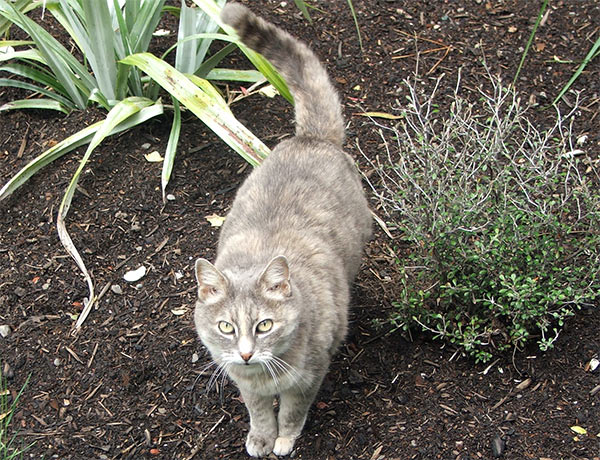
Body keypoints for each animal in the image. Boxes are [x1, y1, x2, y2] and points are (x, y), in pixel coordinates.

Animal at [193, 3, 370, 456]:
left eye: (264, 326)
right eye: (226, 327)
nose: (245, 354)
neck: (262, 374)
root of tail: (311, 137)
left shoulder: (309, 376)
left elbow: (291, 409)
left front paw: (285, 439)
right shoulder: (245, 384)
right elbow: (257, 410)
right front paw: (261, 436)